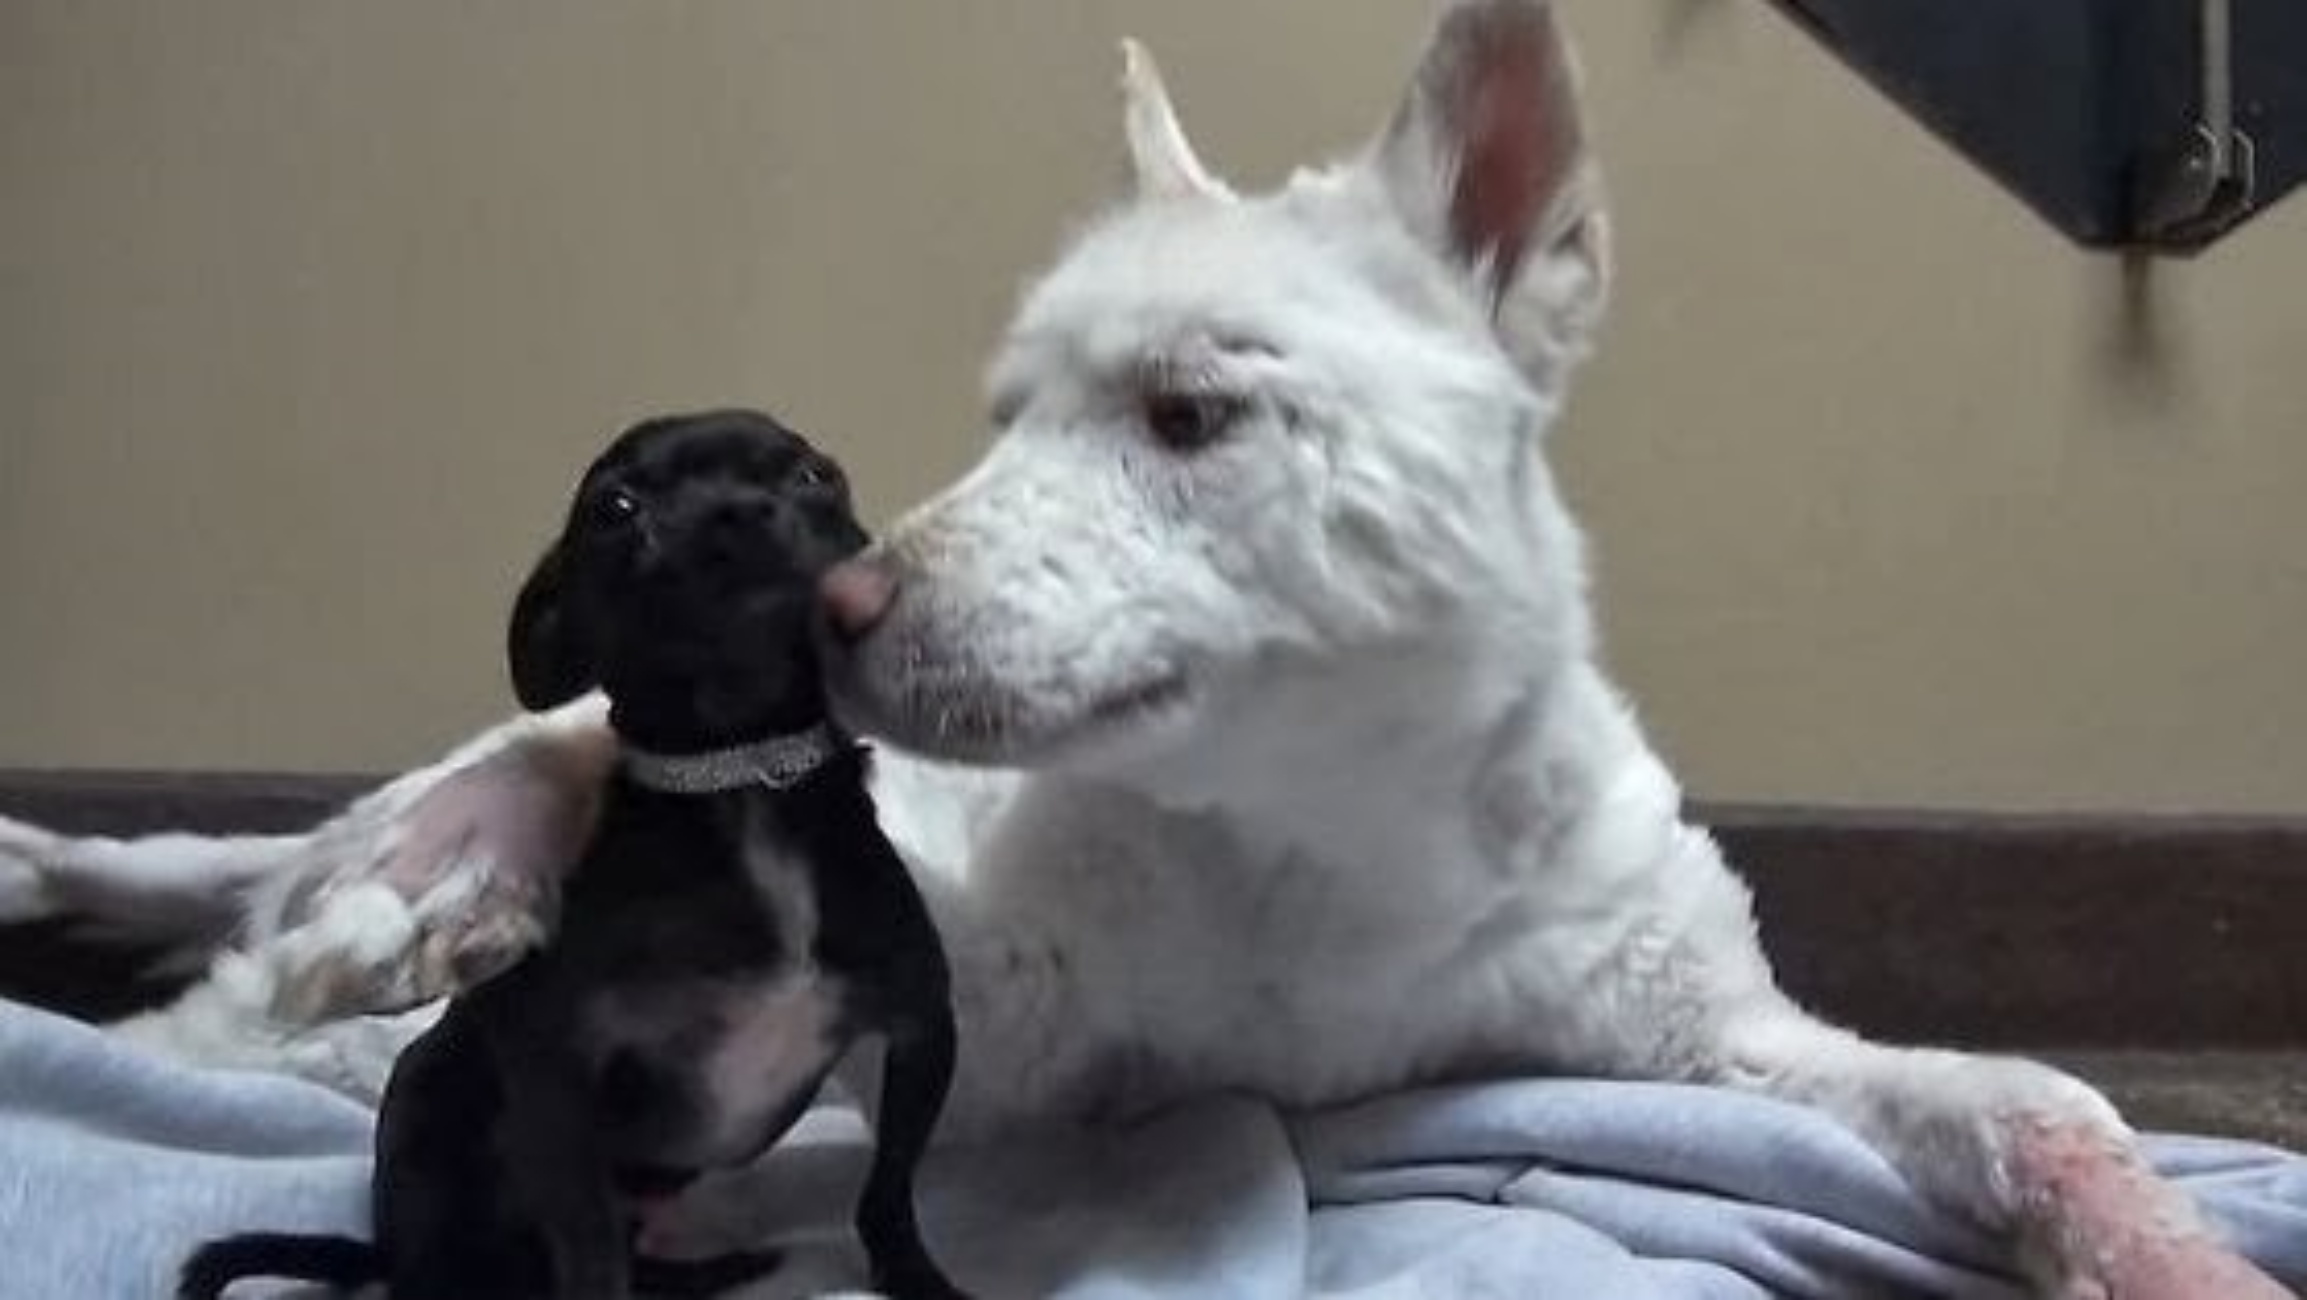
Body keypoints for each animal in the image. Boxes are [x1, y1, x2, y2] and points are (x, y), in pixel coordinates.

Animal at [182, 414, 964, 1300]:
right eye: (615, 508)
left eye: (814, 476)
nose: (732, 513)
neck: (741, 772)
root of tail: (392, 1247)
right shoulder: (556, 1090)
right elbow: (592, 1259)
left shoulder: (921, 1029)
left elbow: (887, 1194)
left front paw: (919, 1279)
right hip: (425, 1101)